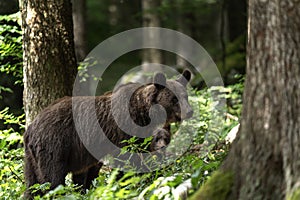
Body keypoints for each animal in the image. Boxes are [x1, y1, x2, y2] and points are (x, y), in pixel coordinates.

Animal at [23, 69, 192, 198]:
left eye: (185, 96)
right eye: (174, 99)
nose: (189, 112)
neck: (144, 114)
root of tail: (30, 128)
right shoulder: (123, 134)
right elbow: (127, 161)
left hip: (32, 157)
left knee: (32, 183)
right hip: (54, 144)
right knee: (52, 178)